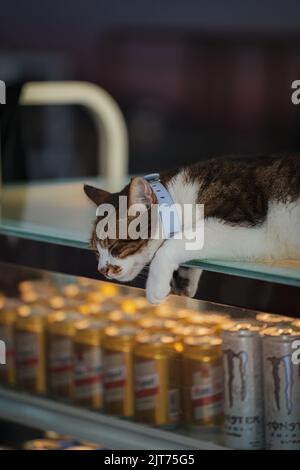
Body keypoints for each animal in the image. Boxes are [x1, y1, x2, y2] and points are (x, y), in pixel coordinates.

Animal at [84, 155, 300, 304]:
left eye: (113, 245)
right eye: (96, 252)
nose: (102, 270)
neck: (178, 199)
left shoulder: (249, 230)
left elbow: (174, 243)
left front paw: (156, 286)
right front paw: (184, 281)